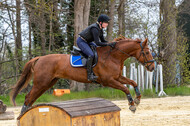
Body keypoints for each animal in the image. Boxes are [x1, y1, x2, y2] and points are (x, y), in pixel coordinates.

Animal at [10, 35, 154, 114]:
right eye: (147, 52)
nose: (152, 67)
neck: (113, 56)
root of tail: (39, 58)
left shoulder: (117, 77)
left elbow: (133, 82)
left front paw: (138, 99)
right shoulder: (108, 80)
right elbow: (125, 88)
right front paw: (132, 105)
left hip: (47, 83)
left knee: (31, 98)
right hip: (41, 82)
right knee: (28, 97)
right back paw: (22, 115)